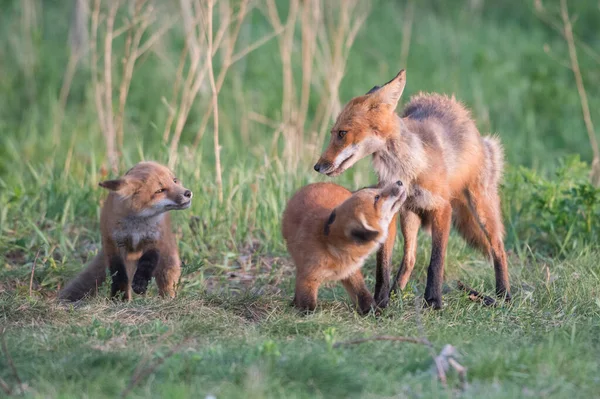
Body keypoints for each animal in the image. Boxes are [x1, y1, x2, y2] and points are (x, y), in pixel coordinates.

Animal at [57, 161, 191, 302]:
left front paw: (140, 284)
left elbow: (147, 264)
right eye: (160, 191)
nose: (188, 193)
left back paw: (167, 299)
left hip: (167, 264)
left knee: (167, 283)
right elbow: (119, 276)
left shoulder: (154, 241)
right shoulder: (114, 244)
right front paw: (118, 299)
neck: (136, 226)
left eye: (175, 181)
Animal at [282, 181, 406, 316]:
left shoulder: (351, 272)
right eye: (376, 198)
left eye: (376, 194)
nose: (399, 182)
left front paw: (375, 312)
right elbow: (307, 304)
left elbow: (363, 295)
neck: (332, 248)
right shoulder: (307, 277)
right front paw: (309, 317)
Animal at [314, 71, 510, 310]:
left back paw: (504, 294)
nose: (317, 166)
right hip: (409, 215)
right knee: (410, 258)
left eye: (342, 133)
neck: (407, 168)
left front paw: (433, 301)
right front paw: (381, 302)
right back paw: (396, 292)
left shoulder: (442, 208)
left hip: (481, 206)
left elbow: (436, 262)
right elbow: (383, 266)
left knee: (498, 248)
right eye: (333, 133)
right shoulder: (388, 209)